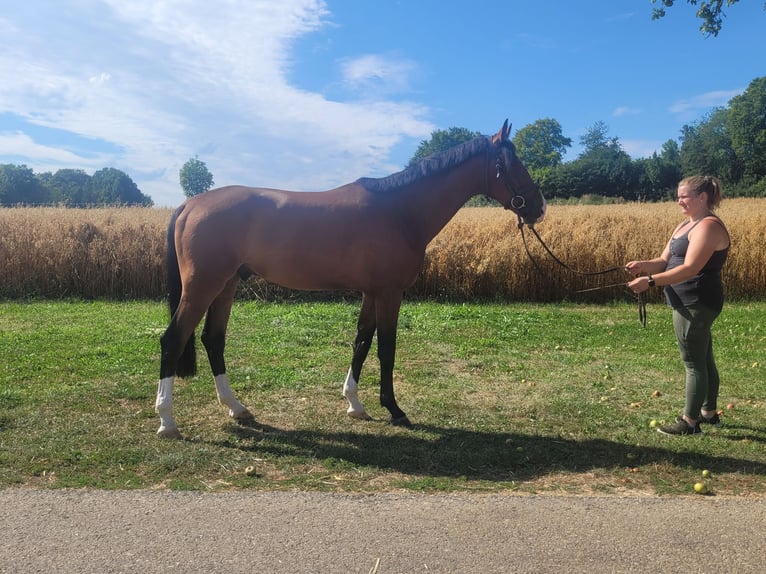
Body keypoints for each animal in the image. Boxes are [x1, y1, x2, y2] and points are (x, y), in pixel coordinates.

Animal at [156, 120, 544, 436]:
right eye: (512, 164)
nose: (539, 207)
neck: (399, 211)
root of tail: (191, 204)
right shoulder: (389, 293)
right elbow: (386, 348)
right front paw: (395, 409)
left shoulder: (371, 293)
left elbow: (361, 342)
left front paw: (355, 404)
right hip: (203, 286)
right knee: (173, 339)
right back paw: (167, 421)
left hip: (226, 285)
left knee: (213, 339)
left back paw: (237, 409)